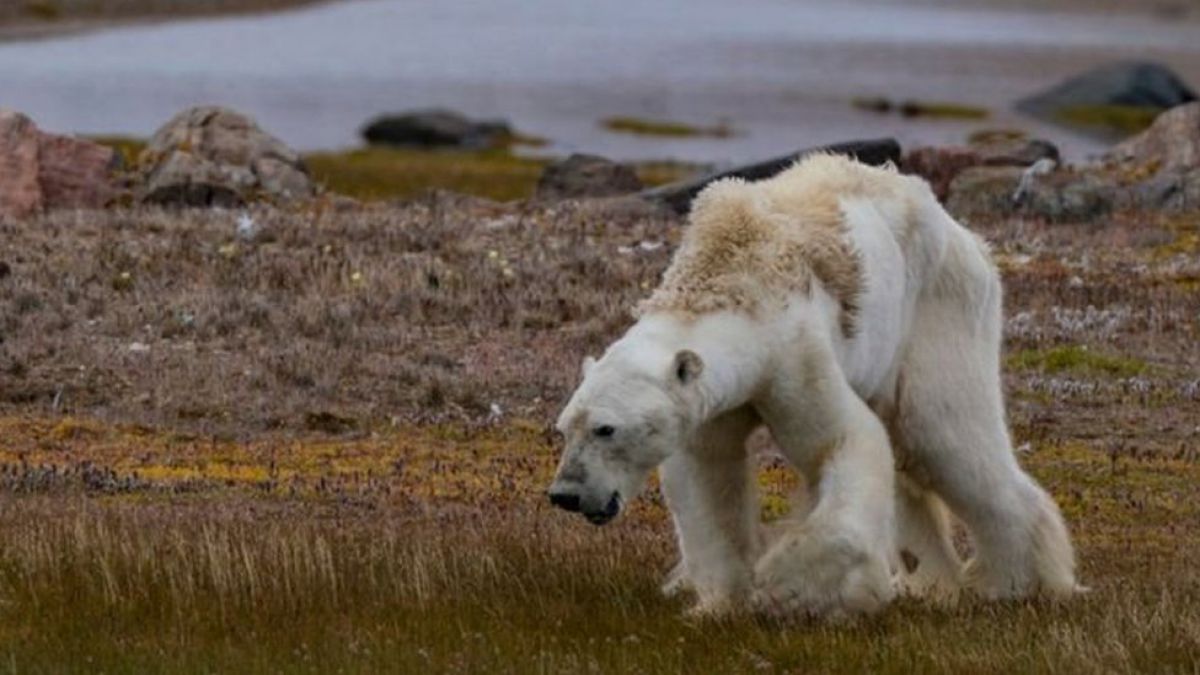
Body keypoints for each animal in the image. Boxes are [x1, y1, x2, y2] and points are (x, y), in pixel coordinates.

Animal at [544, 152, 1080, 614]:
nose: (565, 494)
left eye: (607, 429)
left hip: (937, 309)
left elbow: (842, 441)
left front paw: (791, 584)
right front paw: (720, 603)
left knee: (944, 435)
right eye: (565, 427)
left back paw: (1018, 582)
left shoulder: (793, 354)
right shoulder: (710, 403)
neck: (730, 278)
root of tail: (964, 234)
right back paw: (930, 582)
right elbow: (706, 477)